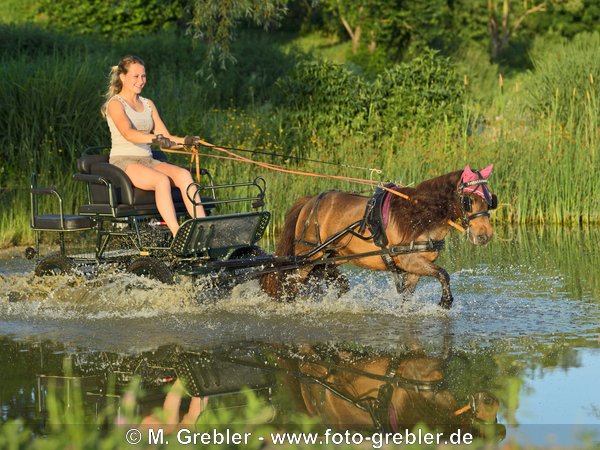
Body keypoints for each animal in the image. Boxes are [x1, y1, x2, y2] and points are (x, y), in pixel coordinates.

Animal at [262, 165, 496, 310]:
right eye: (469, 200)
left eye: (491, 200)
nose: (484, 235)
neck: (419, 215)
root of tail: (310, 201)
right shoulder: (409, 259)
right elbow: (444, 274)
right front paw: (446, 302)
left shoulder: (416, 267)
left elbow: (409, 296)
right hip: (307, 256)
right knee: (292, 283)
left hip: (332, 254)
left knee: (329, 274)